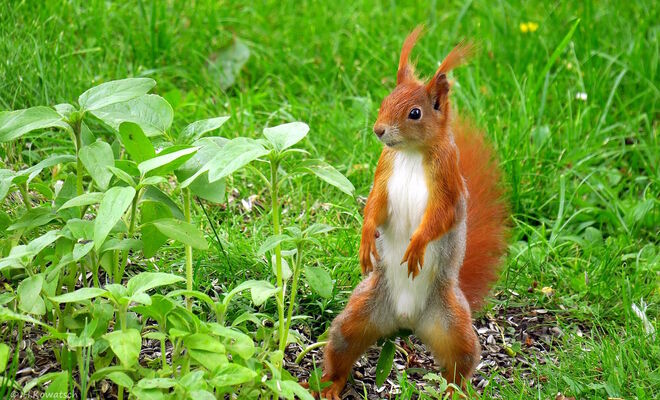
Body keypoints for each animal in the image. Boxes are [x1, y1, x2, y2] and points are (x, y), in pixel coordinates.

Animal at [312, 27, 508, 399]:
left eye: (415, 113)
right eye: (384, 102)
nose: (379, 130)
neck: (411, 153)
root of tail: (406, 321)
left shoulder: (448, 182)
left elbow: (442, 216)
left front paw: (417, 244)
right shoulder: (383, 173)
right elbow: (375, 206)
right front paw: (365, 238)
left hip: (451, 323)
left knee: (461, 362)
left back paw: (455, 390)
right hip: (363, 309)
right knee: (342, 344)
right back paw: (329, 384)